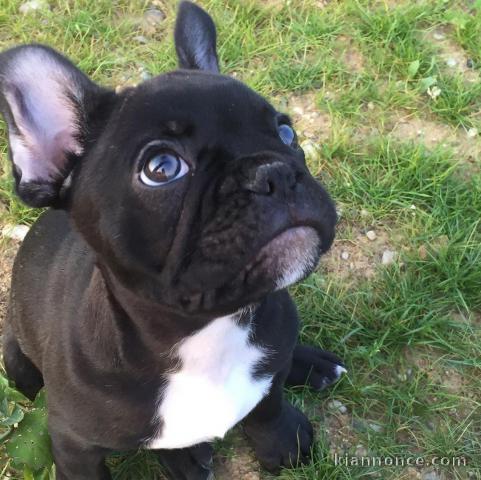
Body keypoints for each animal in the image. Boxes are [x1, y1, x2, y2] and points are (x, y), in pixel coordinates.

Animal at [0, 1, 344, 478]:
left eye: (286, 132)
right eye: (161, 168)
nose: (275, 173)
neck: (207, 333)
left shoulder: (271, 355)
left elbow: (268, 403)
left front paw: (284, 442)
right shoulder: (73, 444)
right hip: (17, 359)